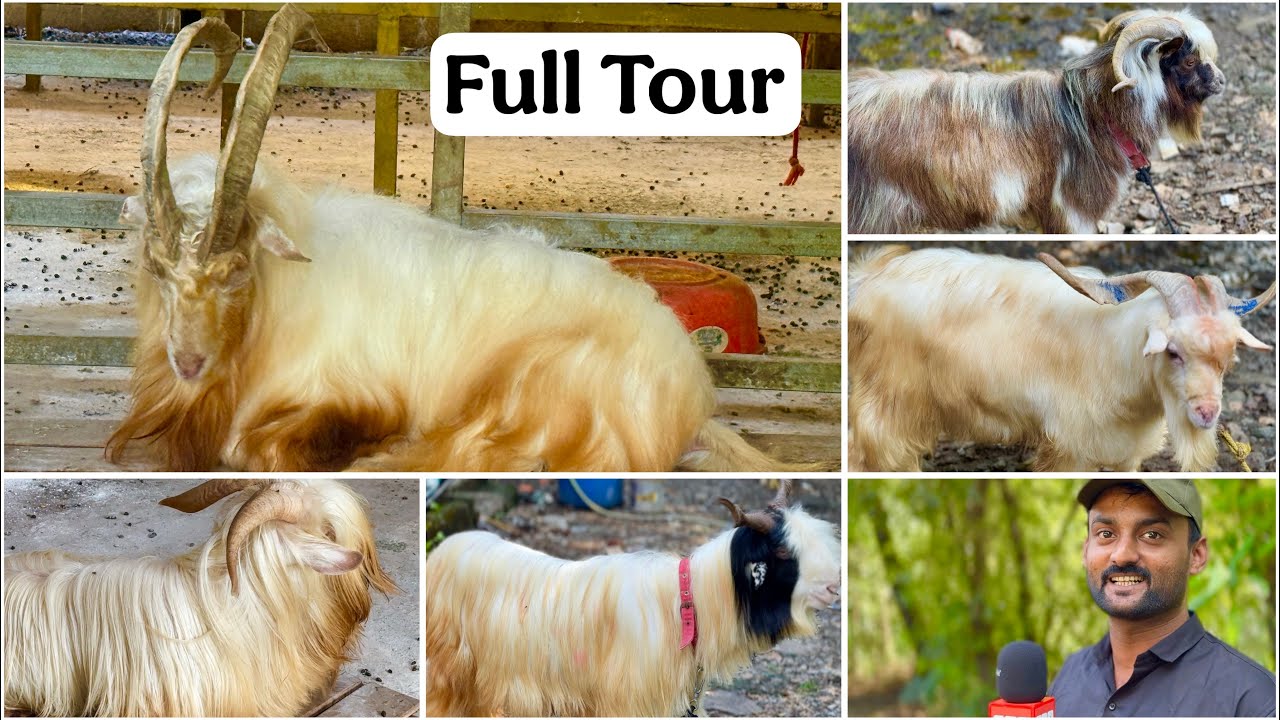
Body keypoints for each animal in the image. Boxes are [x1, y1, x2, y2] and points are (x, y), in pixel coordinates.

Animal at [104, 6, 794, 473]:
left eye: (237, 271)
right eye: (158, 269)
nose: (187, 362)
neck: (275, 307)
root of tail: (694, 397)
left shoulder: (353, 395)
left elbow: (258, 448)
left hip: (536, 387)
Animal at [848, 246, 1276, 471]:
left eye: (1228, 357)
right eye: (1173, 351)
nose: (1206, 414)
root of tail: (867, 280)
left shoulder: (1125, 455)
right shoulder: (1071, 448)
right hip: (888, 402)